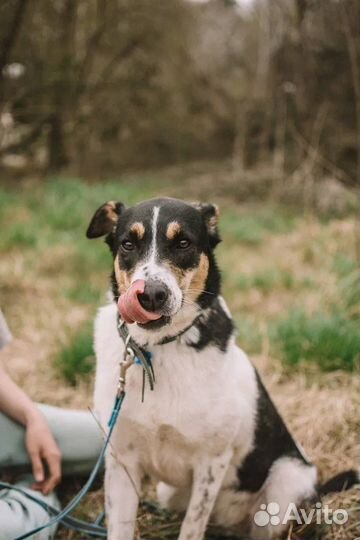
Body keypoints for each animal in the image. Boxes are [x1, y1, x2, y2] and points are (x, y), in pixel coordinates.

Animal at [86, 198, 358, 540]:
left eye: (184, 243)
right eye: (128, 244)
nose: (150, 295)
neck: (159, 348)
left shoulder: (211, 461)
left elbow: (191, 528)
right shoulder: (122, 460)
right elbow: (120, 527)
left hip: (286, 485)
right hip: (168, 492)